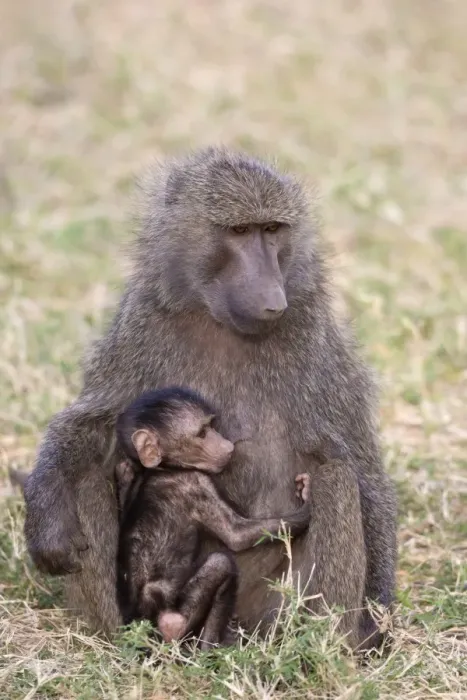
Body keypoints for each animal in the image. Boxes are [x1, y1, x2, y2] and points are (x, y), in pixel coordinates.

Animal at [114, 386, 312, 649]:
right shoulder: (196, 483)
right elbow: (236, 535)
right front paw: (307, 500)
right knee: (222, 564)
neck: (163, 468)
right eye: (202, 432)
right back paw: (209, 646)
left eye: (211, 426)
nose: (227, 444)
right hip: (177, 616)